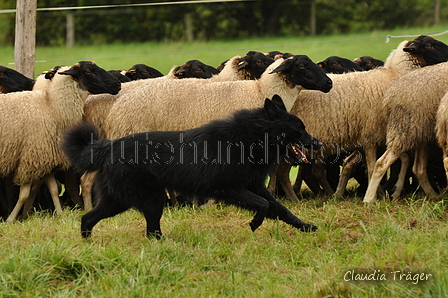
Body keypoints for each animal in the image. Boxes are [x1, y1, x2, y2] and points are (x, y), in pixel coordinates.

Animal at [0, 61, 121, 221]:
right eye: (89, 72)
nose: (118, 84)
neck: (50, 106)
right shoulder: (30, 158)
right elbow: (24, 194)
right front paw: (11, 219)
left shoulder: (45, 157)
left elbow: (53, 189)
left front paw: (60, 213)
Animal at [62, 95, 322, 240]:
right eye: (299, 131)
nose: (319, 144)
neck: (249, 139)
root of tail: (108, 146)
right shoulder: (230, 189)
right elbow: (264, 205)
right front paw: (255, 223)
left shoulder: (254, 186)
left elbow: (281, 209)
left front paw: (306, 227)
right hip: (149, 200)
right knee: (150, 231)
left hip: (120, 200)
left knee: (89, 218)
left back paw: (88, 243)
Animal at [362, 61, 448, 204]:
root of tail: (390, 96)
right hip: (404, 130)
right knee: (381, 163)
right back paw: (369, 199)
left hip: (419, 133)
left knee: (418, 168)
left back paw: (433, 195)